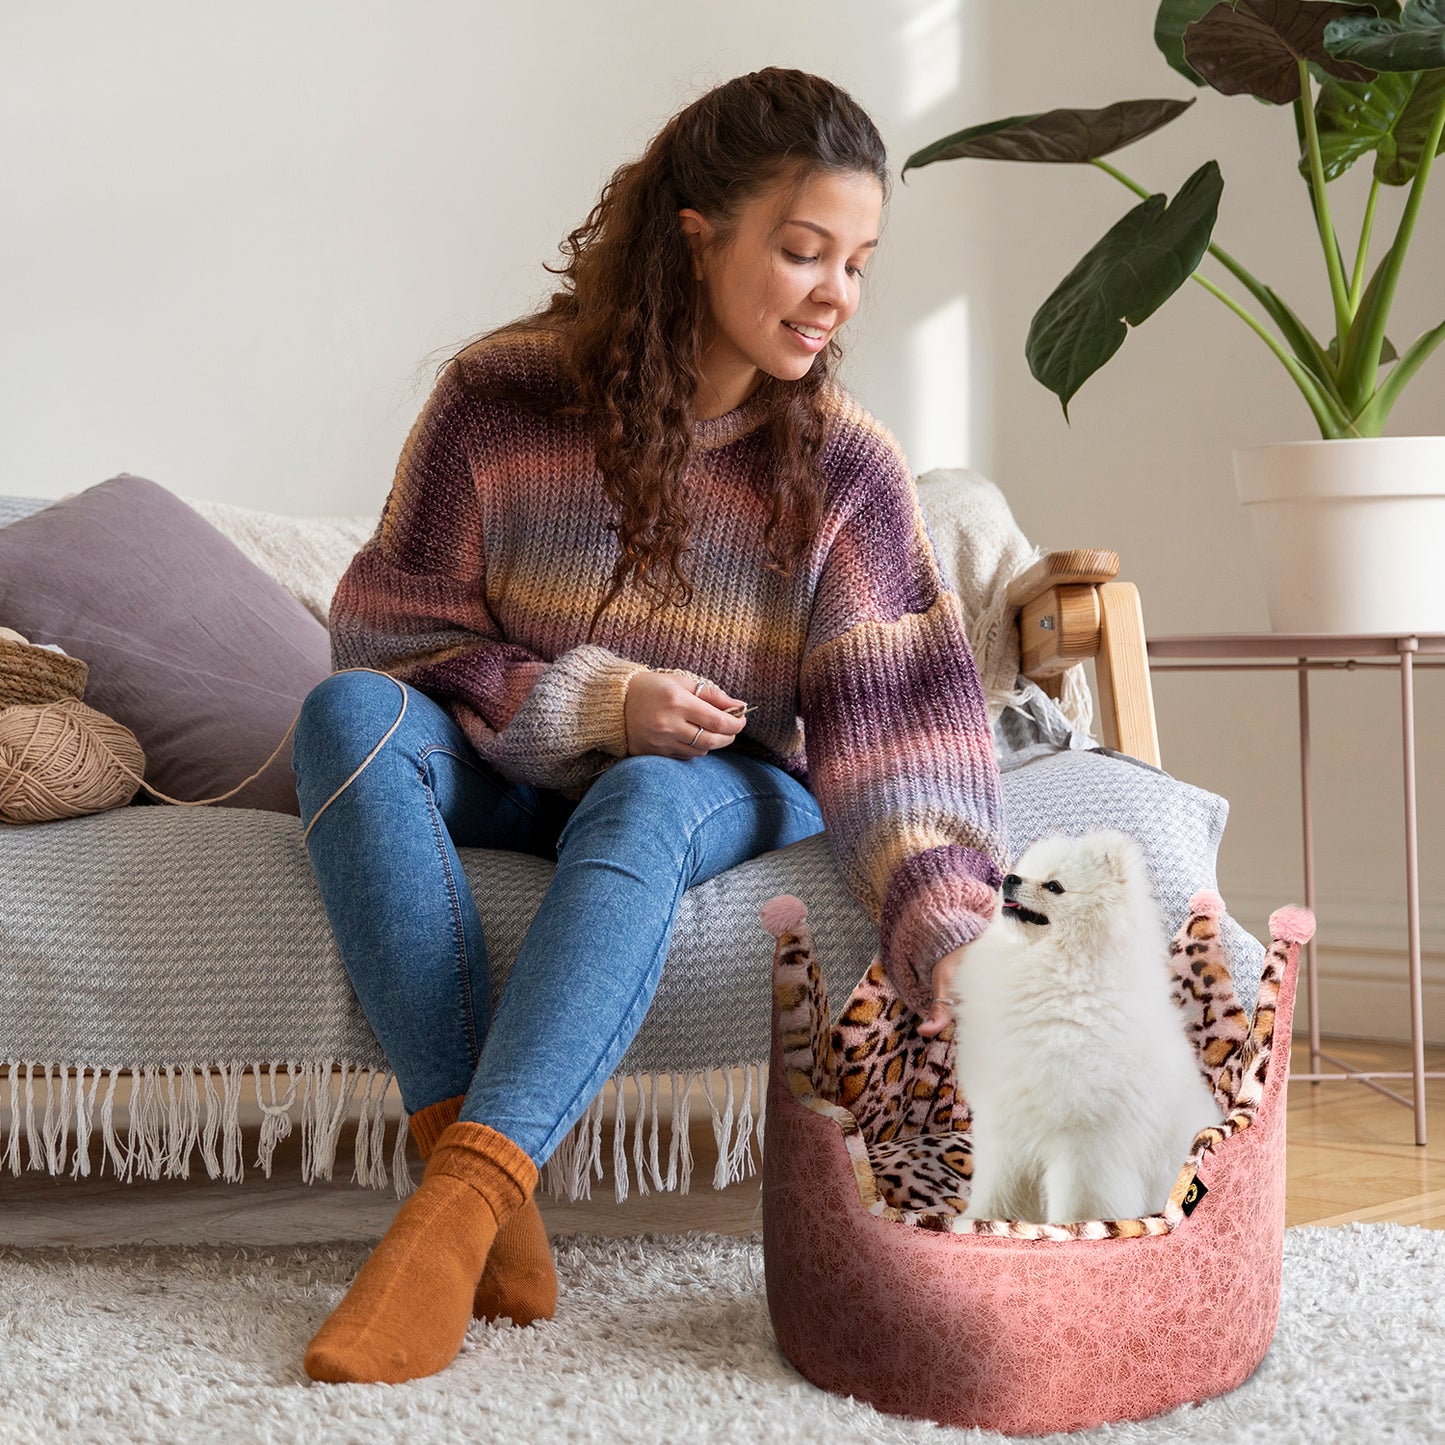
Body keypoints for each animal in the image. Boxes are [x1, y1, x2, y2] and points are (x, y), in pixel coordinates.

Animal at [947, 832, 1219, 1225]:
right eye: (1023, 871)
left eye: (1054, 886)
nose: (1009, 879)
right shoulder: (1006, 1121)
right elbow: (999, 1185)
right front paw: (981, 1220)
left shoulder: (1087, 1138)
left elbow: (1082, 1199)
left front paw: (1074, 1229)